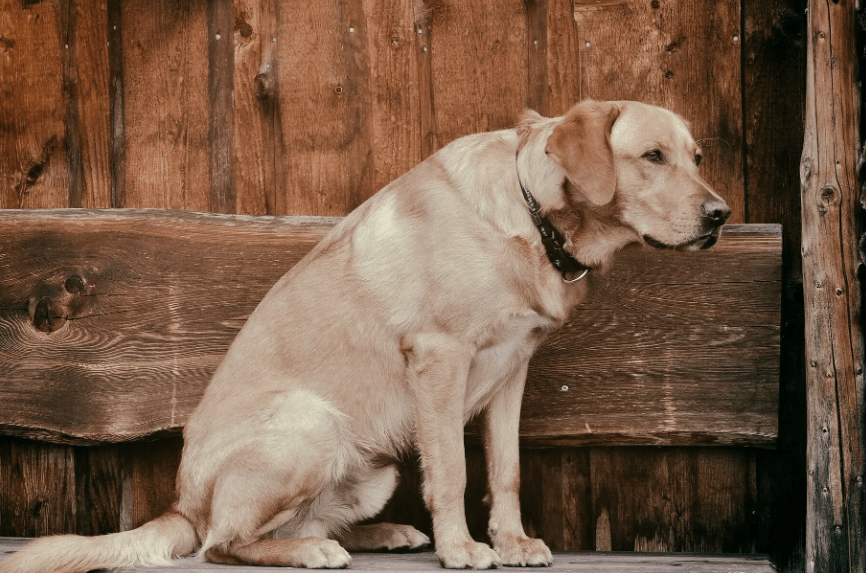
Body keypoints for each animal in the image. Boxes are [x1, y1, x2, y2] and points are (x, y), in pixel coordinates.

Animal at [0, 100, 724, 568]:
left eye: (694, 157)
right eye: (651, 156)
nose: (721, 214)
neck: (531, 214)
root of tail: (182, 504)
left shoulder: (511, 371)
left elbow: (507, 471)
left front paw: (512, 541)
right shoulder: (440, 358)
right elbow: (453, 471)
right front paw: (464, 549)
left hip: (370, 466)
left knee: (299, 522)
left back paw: (378, 535)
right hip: (311, 423)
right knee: (222, 543)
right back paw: (311, 550)